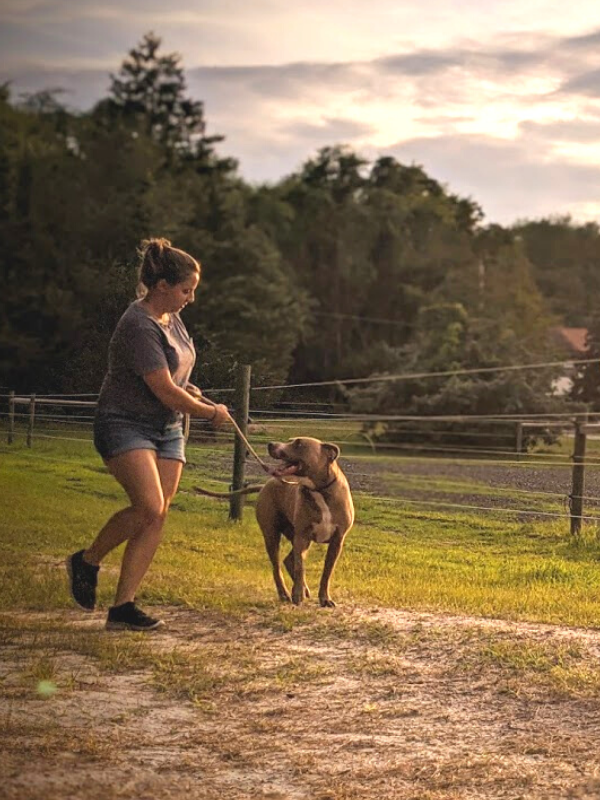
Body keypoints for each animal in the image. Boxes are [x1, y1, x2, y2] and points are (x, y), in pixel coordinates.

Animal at [254, 438, 356, 608]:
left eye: (299, 444)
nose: (271, 444)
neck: (318, 490)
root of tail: (266, 484)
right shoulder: (302, 536)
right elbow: (300, 567)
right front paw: (297, 595)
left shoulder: (337, 540)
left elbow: (327, 572)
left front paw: (324, 598)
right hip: (272, 535)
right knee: (278, 567)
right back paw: (285, 593)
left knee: (288, 560)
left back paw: (303, 589)